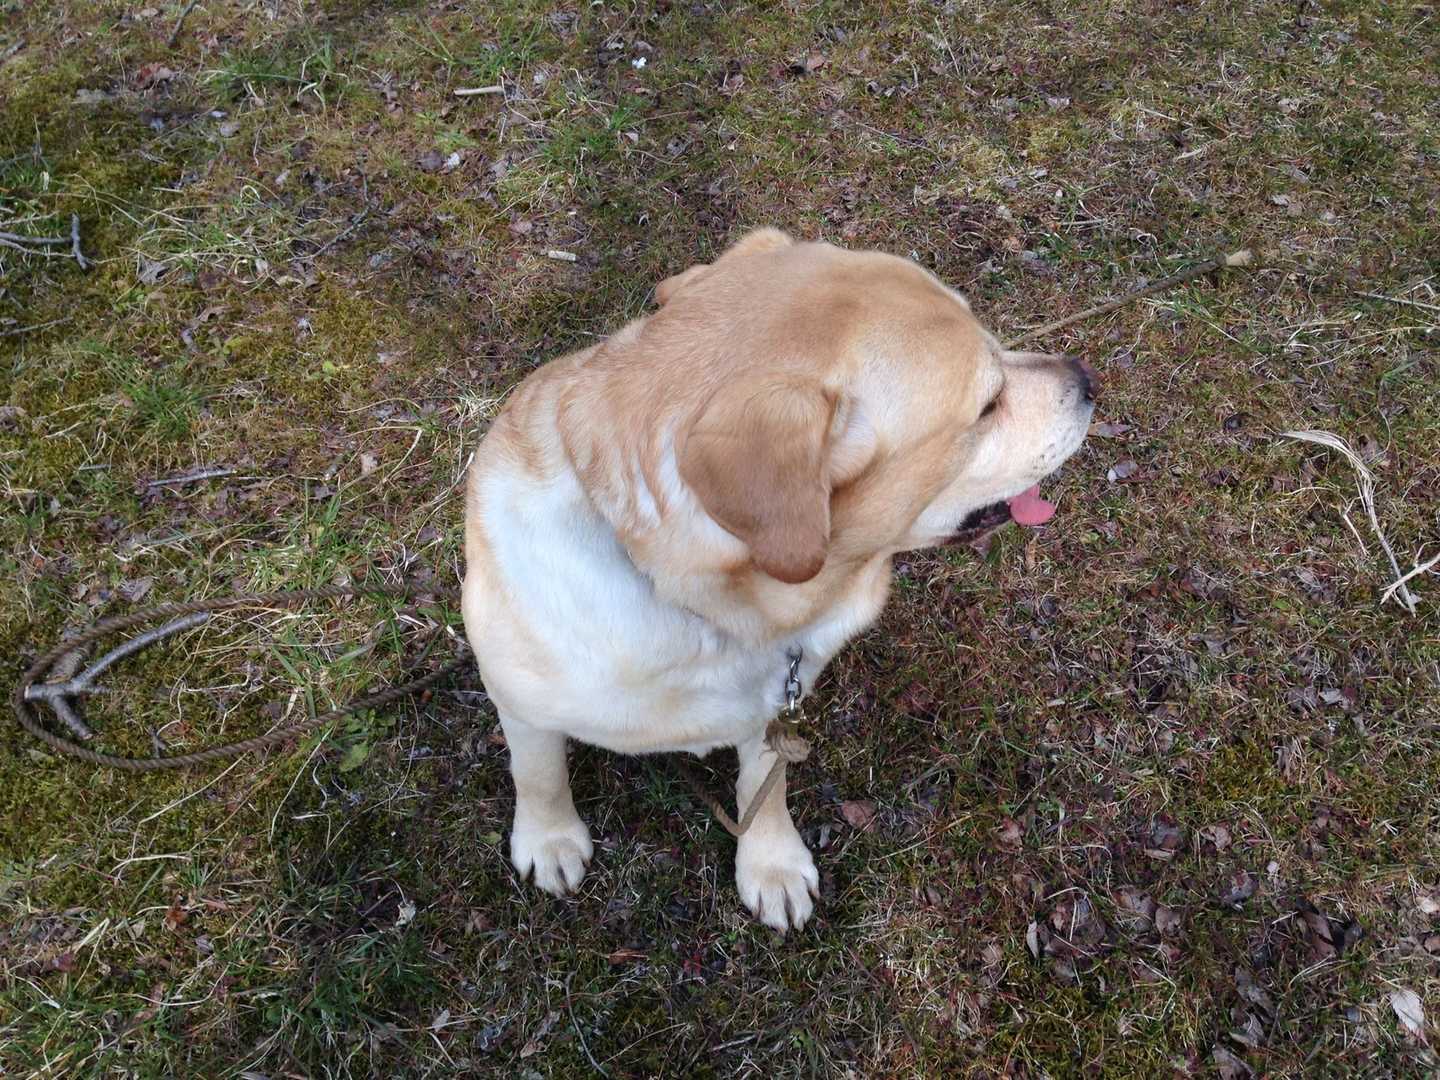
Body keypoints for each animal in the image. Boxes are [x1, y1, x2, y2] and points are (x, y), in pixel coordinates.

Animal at [462, 228, 1094, 930]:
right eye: (987, 405)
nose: (1088, 377)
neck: (710, 609)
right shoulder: (519, 702)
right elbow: (537, 772)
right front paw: (549, 839)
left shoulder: (771, 706)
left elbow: (761, 787)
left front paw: (771, 864)